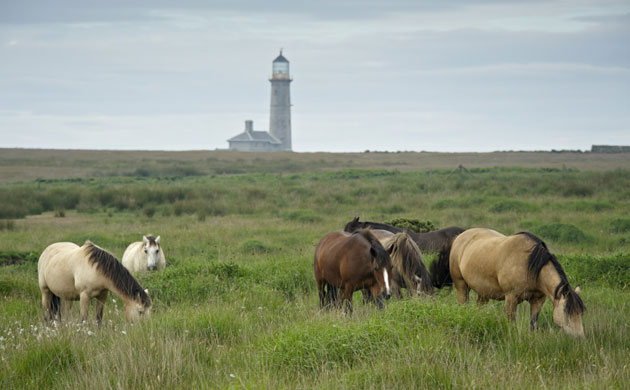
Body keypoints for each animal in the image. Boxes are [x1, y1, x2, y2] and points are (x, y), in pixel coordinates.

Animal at [436, 227, 592, 336]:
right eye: (567, 312)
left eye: (581, 313)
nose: (579, 337)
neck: (530, 266)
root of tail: (459, 237)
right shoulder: (511, 298)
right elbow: (511, 322)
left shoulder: (537, 300)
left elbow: (533, 324)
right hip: (462, 287)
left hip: (483, 293)